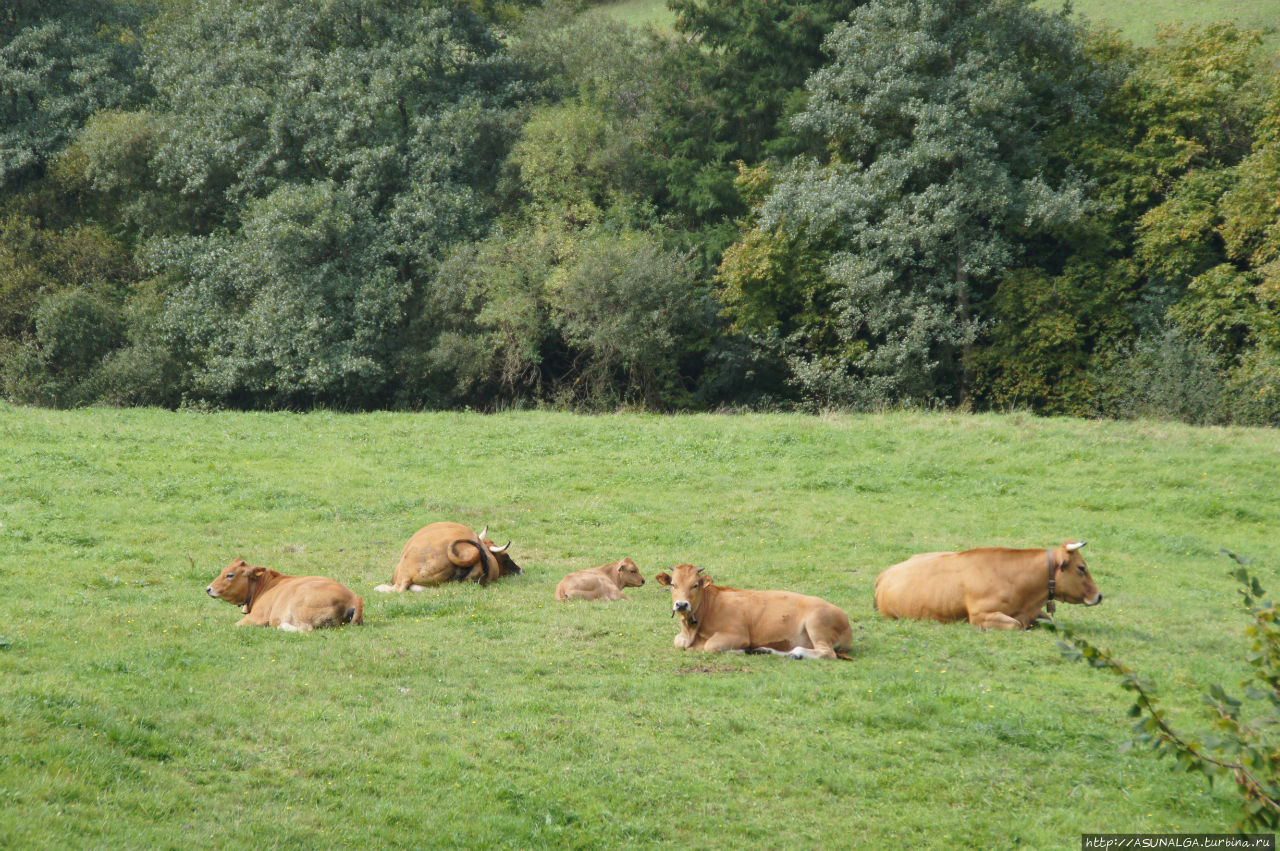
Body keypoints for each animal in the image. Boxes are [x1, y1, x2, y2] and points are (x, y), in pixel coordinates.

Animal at [655, 560, 855, 660]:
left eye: (695, 585)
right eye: (673, 584)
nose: (681, 604)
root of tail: (844, 618)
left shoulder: (737, 635)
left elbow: (710, 646)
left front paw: (741, 651)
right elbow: (678, 642)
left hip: (817, 624)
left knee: (827, 653)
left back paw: (796, 653)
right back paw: (768, 651)